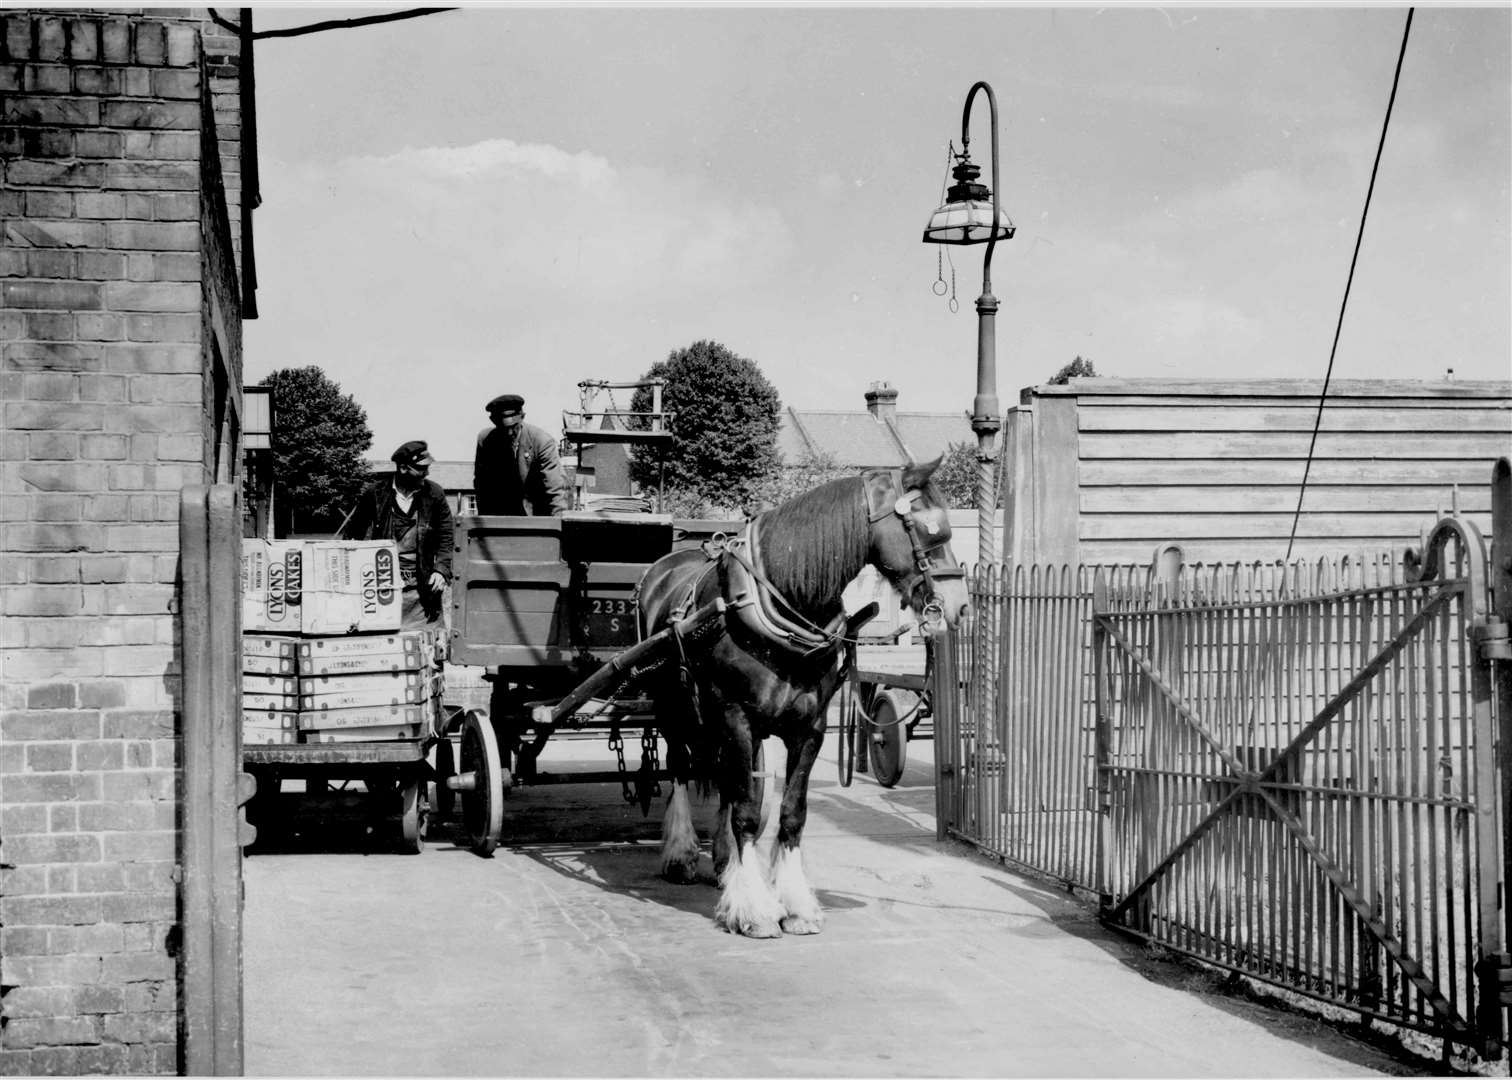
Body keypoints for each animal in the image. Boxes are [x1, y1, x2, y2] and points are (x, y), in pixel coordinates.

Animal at [635, 456, 967, 931]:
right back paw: (680, 853)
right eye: (928, 530)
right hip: (673, 706)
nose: (959, 606)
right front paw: (753, 909)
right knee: (680, 764)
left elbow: (789, 812)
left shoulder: (810, 727)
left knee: (723, 778)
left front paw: (793, 903)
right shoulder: (737, 716)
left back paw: (724, 861)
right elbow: (747, 811)